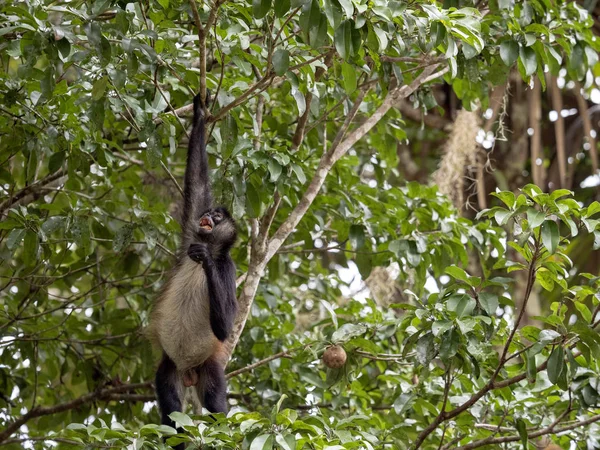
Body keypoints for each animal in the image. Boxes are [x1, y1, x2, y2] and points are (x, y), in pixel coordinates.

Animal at [148, 91, 237, 446]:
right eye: (210, 212)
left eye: (219, 217)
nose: (209, 216)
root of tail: (188, 371)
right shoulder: (190, 233)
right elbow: (197, 180)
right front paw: (200, 111)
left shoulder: (229, 267)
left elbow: (225, 327)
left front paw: (207, 261)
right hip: (169, 368)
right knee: (171, 406)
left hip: (208, 368)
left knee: (215, 403)